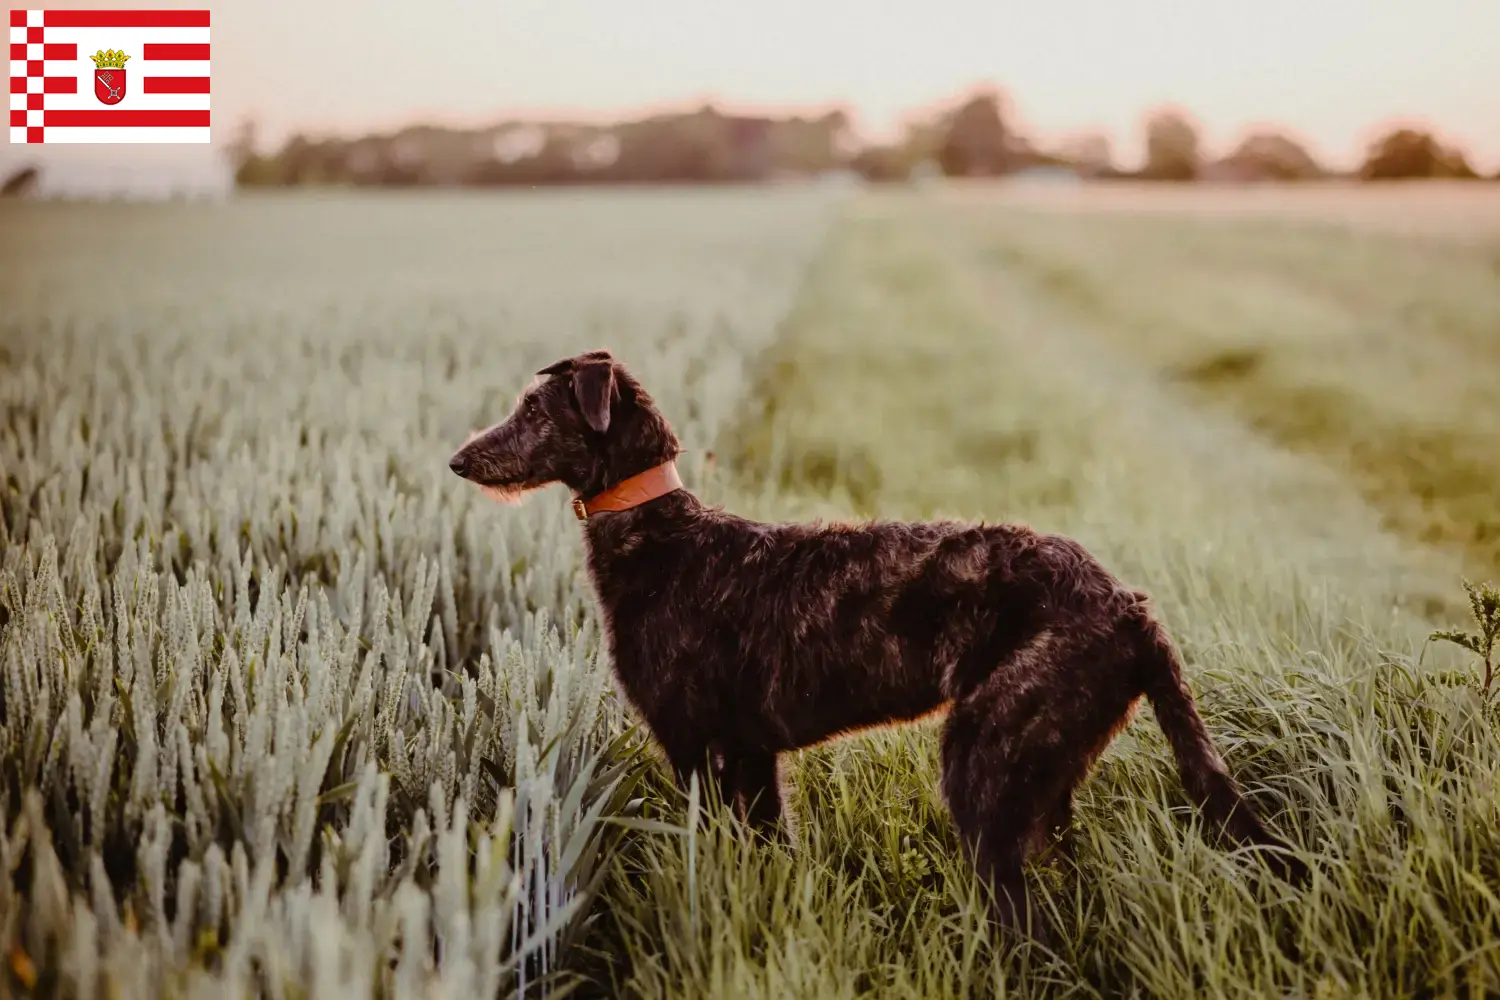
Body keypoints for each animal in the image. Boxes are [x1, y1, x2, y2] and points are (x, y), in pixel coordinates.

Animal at [444, 347, 1302, 935]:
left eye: (535, 410)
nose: (456, 458)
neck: (665, 537)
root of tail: (1131, 607)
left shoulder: (695, 749)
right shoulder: (752, 757)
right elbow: (770, 851)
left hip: (985, 761)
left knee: (1020, 916)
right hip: (1047, 775)